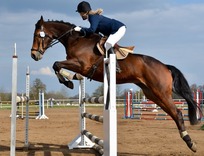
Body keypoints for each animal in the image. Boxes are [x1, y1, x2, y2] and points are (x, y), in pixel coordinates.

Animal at [31, 16, 200, 152]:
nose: (34, 55)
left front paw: (67, 82)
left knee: (177, 113)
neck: (76, 40)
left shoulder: (81, 65)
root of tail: (165, 66)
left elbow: (56, 64)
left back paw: (190, 143)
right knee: (173, 113)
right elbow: (57, 65)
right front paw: (70, 80)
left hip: (161, 92)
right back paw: (188, 140)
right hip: (152, 94)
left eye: (37, 35)